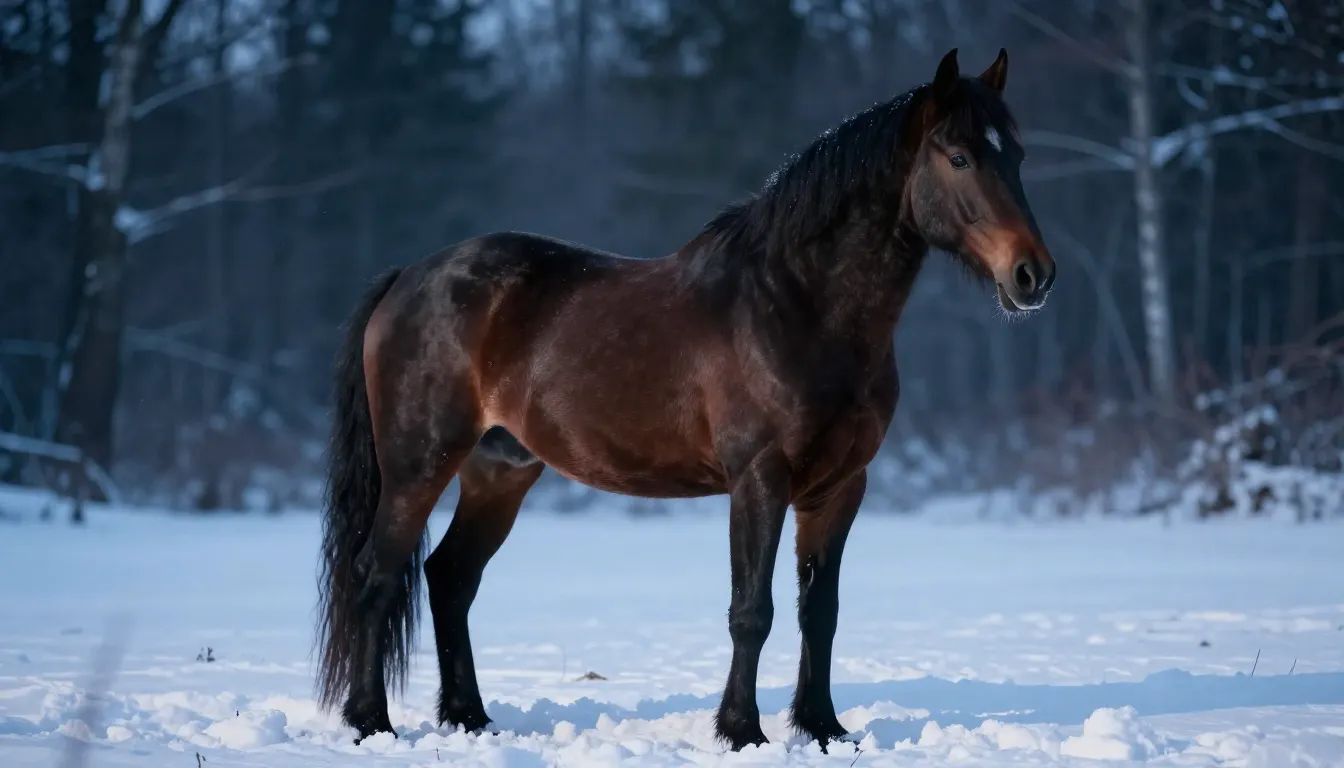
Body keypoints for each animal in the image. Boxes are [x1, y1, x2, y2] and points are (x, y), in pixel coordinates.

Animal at [314, 47, 1055, 752]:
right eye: (958, 156)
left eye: (1017, 155)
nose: (1033, 275)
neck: (800, 306)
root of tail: (408, 277)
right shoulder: (759, 479)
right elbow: (751, 611)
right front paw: (742, 730)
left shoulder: (841, 486)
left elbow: (821, 612)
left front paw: (822, 727)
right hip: (419, 465)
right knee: (377, 576)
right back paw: (371, 722)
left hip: (499, 471)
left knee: (449, 579)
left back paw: (469, 718)